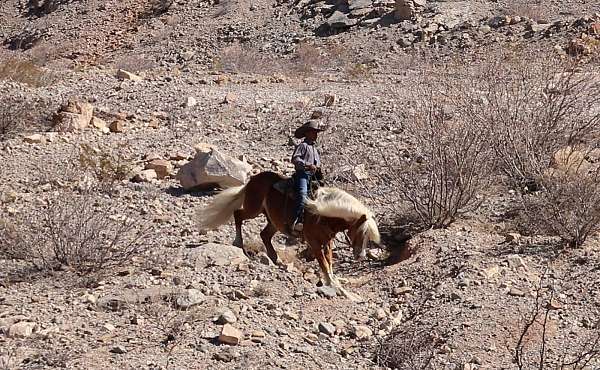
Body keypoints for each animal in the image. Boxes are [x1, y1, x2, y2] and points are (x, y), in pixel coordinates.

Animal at [196, 171, 380, 300]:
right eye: (360, 232)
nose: (361, 256)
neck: (323, 214)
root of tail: (252, 180)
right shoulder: (314, 243)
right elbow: (324, 265)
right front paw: (334, 286)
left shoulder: (327, 243)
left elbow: (329, 264)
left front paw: (336, 285)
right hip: (253, 209)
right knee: (238, 214)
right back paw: (238, 242)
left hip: (273, 221)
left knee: (264, 234)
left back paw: (275, 258)